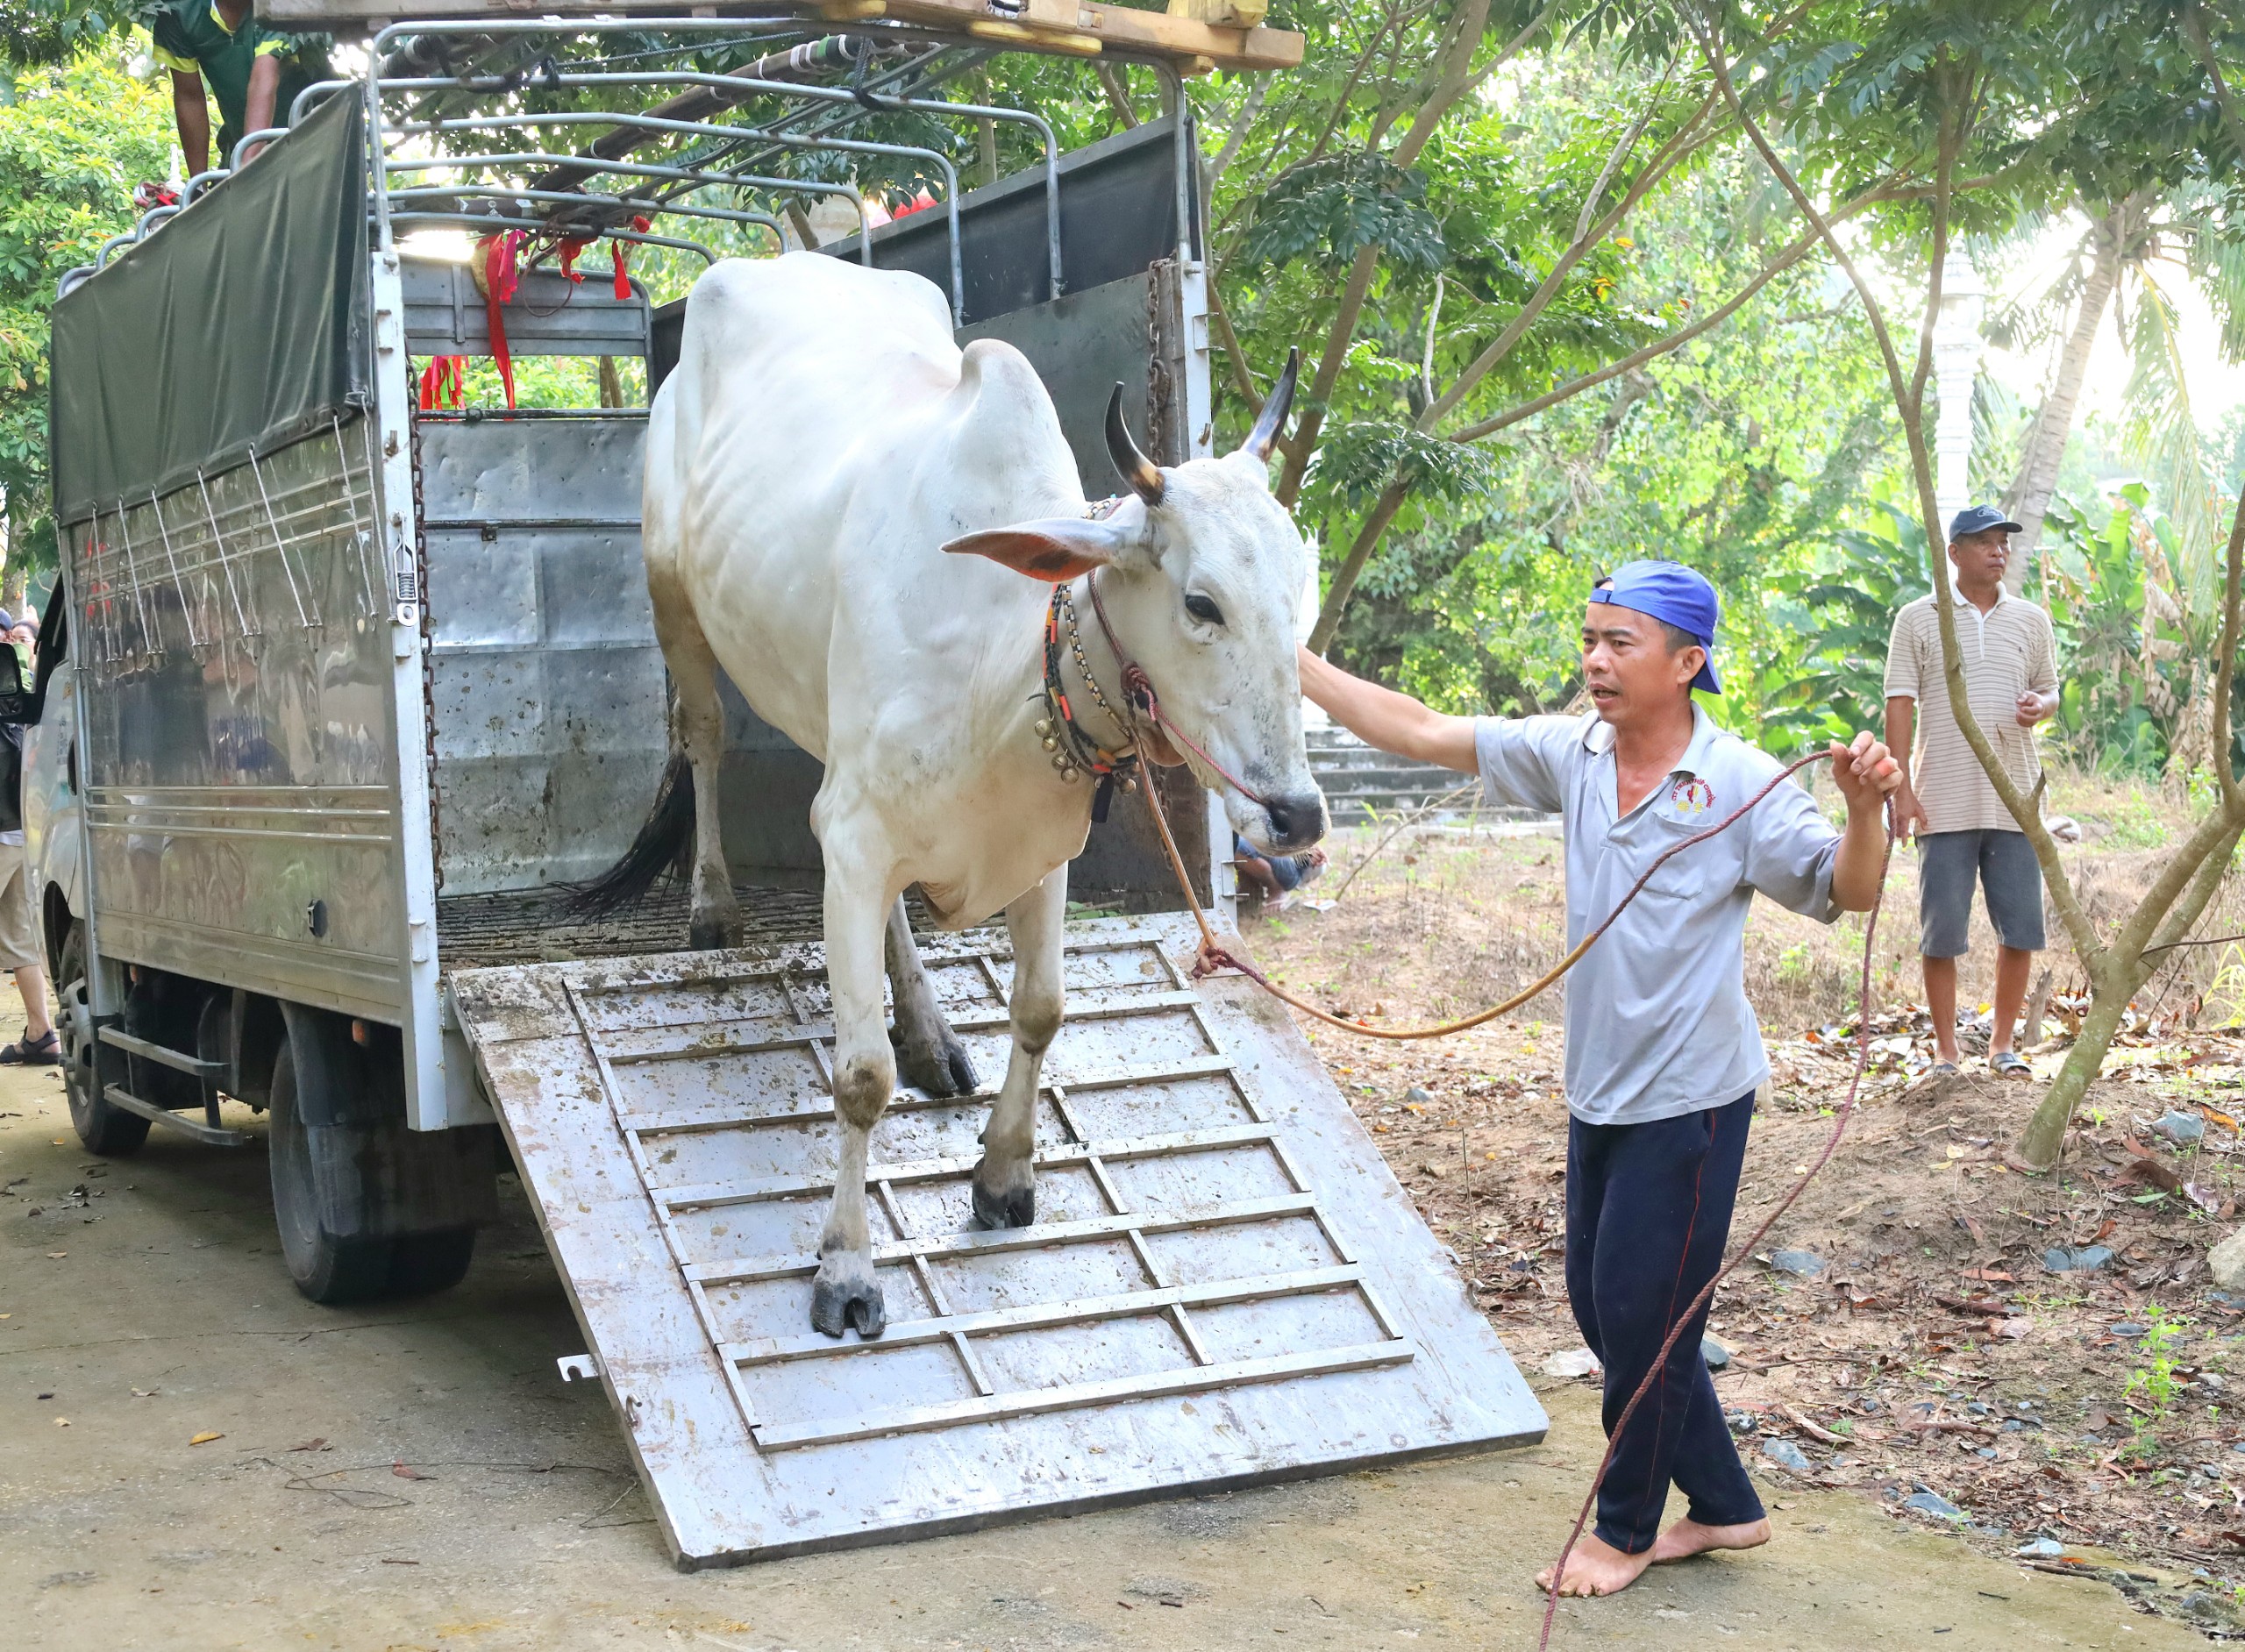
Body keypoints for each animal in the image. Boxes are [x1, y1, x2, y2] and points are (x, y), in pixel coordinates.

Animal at [596, 258, 1329, 1346]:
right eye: (1202, 603)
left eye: (1303, 599)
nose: (1296, 816)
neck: (1010, 657)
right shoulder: (856, 834)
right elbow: (859, 1079)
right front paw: (846, 1267)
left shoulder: (1037, 848)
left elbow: (1041, 1009)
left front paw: (1002, 1177)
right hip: (672, 598)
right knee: (706, 735)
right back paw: (715, 905)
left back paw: (931, 1032)